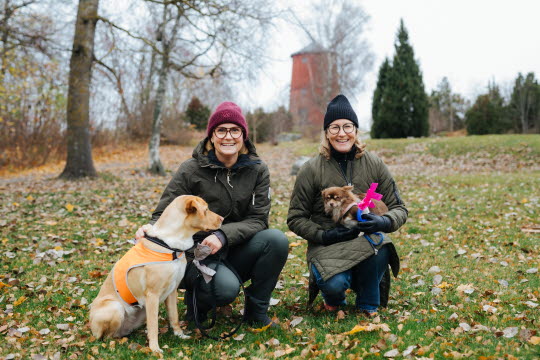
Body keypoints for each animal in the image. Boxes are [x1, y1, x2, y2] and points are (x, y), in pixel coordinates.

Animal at [89, 195, 223, 352]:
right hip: (115, 308)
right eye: (206, 210)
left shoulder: (172, 291)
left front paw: (179, 334)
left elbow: (174, 316)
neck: (170, 245)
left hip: (141, 313)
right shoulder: (152, 295)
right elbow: (153, 325)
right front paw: (154, 349)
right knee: (107, 336)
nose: (222, 218)